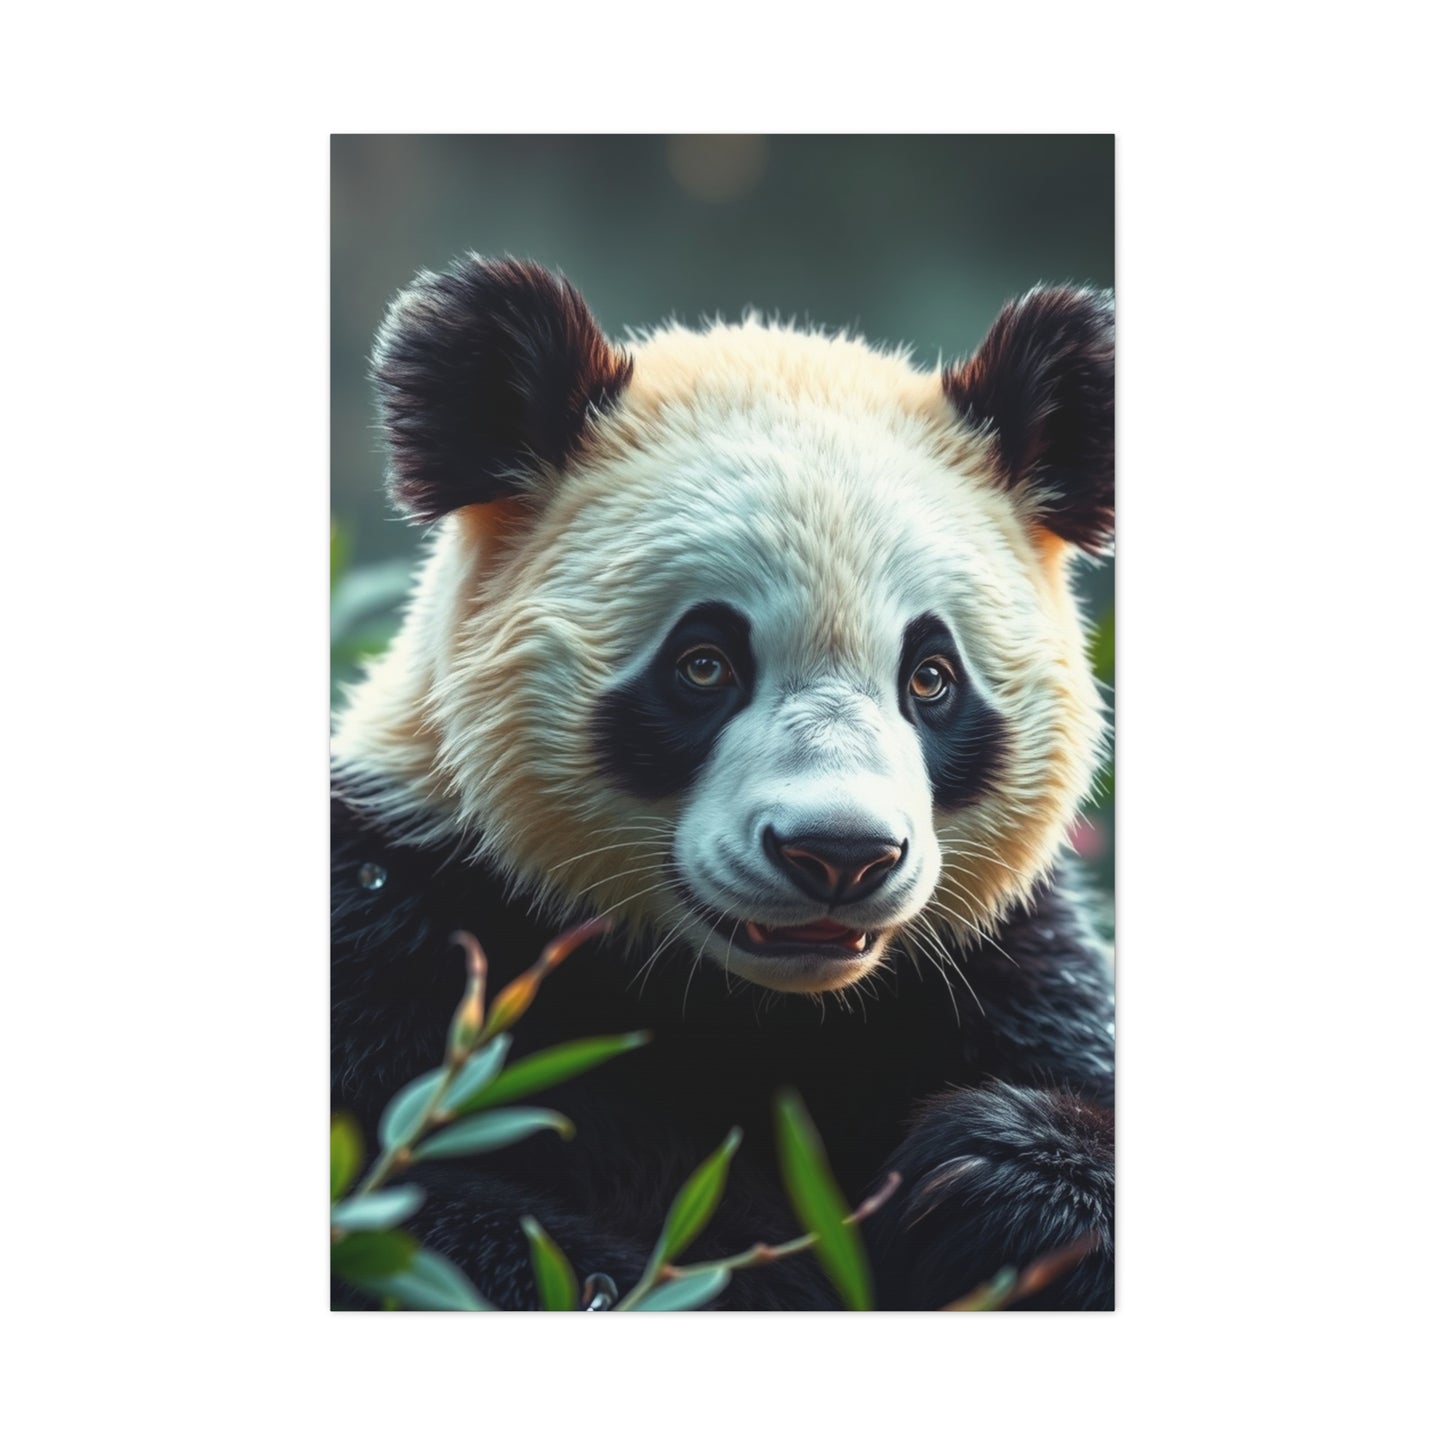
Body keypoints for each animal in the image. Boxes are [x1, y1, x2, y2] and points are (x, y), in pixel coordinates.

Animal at [332, 256, 1115, 1310]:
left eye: (929, 677)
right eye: (703, 664)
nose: (839, 854)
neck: (750, 1004)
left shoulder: (1000, 970)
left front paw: (990, 1182)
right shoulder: (405, 930)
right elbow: (429, 1220)